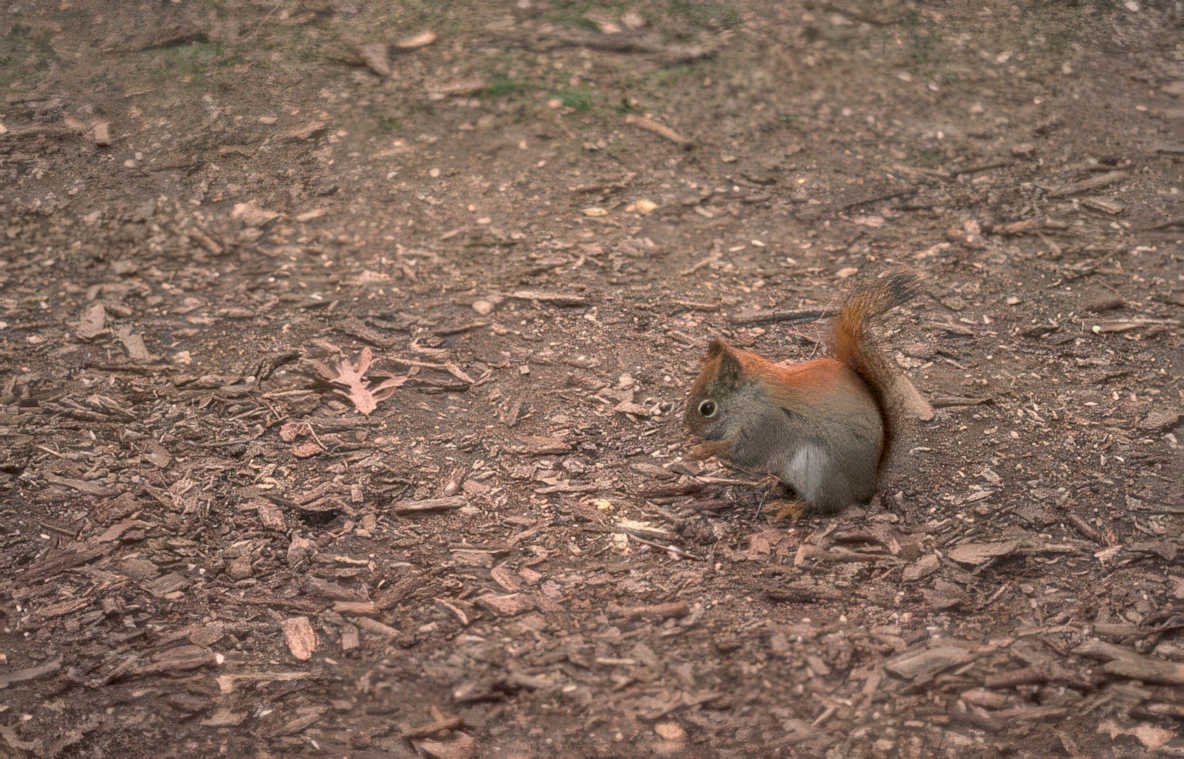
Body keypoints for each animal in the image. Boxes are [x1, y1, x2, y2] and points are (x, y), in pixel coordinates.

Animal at [684, 274, 917, 518]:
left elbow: (743, 452)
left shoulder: (766, 425)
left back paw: (791, 508)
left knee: (825, 504)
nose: (690, 429)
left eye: (707, 408)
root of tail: (867, 485)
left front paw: (701, 450)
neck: (751, 398)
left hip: (820, 471)